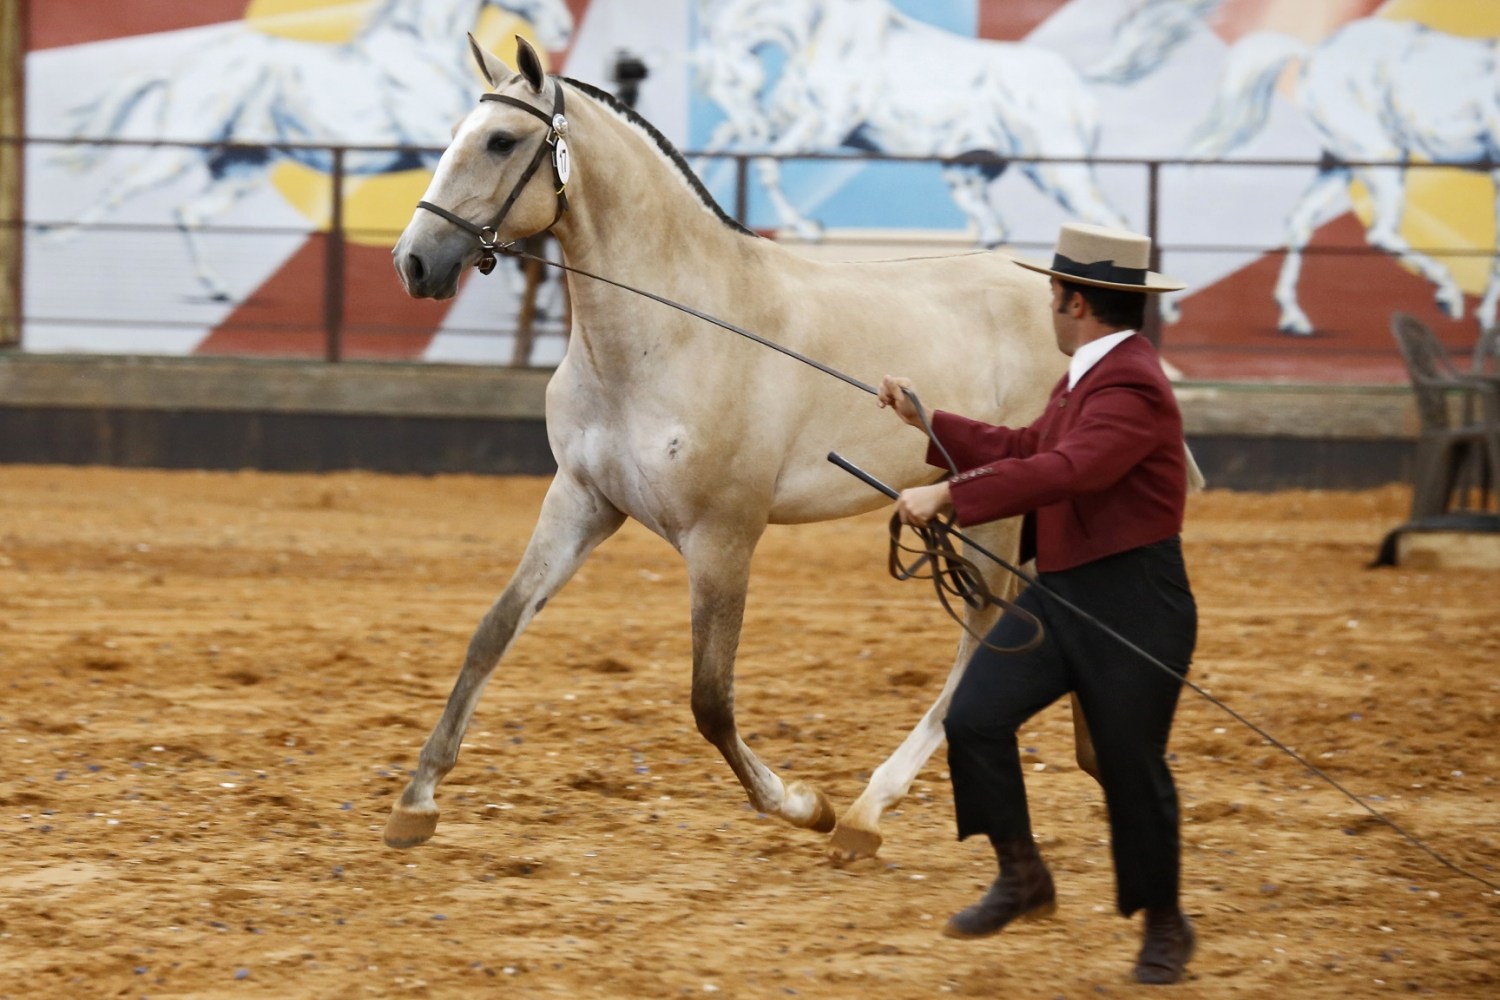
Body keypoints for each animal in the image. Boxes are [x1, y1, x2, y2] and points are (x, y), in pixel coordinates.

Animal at [48, 0, 573, 301]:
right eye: (498, 142)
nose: (565, 28)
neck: (419, 52)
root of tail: (188, 66)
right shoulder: (432, 150)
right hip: (180, 148)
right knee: (122, 189)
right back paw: (55, 238)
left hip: (242, 170)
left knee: (188, 212)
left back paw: (217, 288)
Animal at [1182, 17, 1500, 335]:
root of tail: (1313, 54)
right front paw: (1485, 319)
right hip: (1381, 154)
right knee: (1380, 233)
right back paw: (1449, 297)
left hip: (1339, 163)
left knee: (1300, 221)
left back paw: (1293, 318)